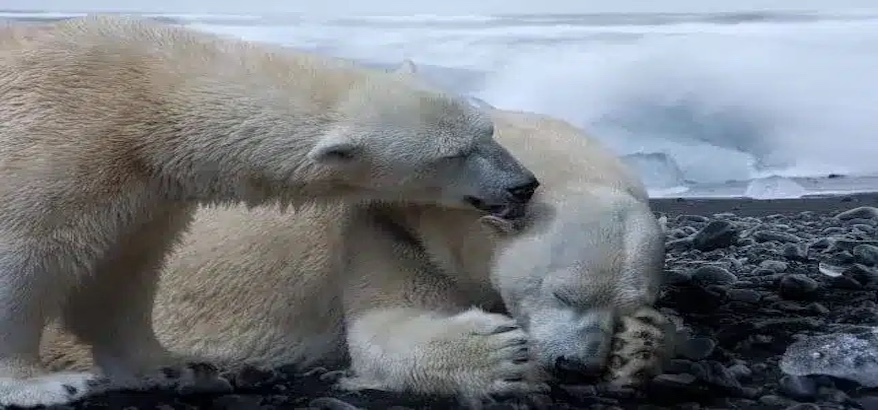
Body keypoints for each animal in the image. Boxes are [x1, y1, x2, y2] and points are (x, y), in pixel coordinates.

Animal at [0, 16, 539, 408]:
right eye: (453, 155)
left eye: (488, 131)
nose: (523, 185)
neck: (146, 98)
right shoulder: (54, 148)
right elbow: (22, 259)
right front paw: (42, 386)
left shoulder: (142, 188)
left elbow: (122, 273)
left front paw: (174, 367)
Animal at [39, 60, 673, 406]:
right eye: (562, 292)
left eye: (629, 301)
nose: (576, 366)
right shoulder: (380, 228)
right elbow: (386, 325)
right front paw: (500, 356)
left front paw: (639, 346)